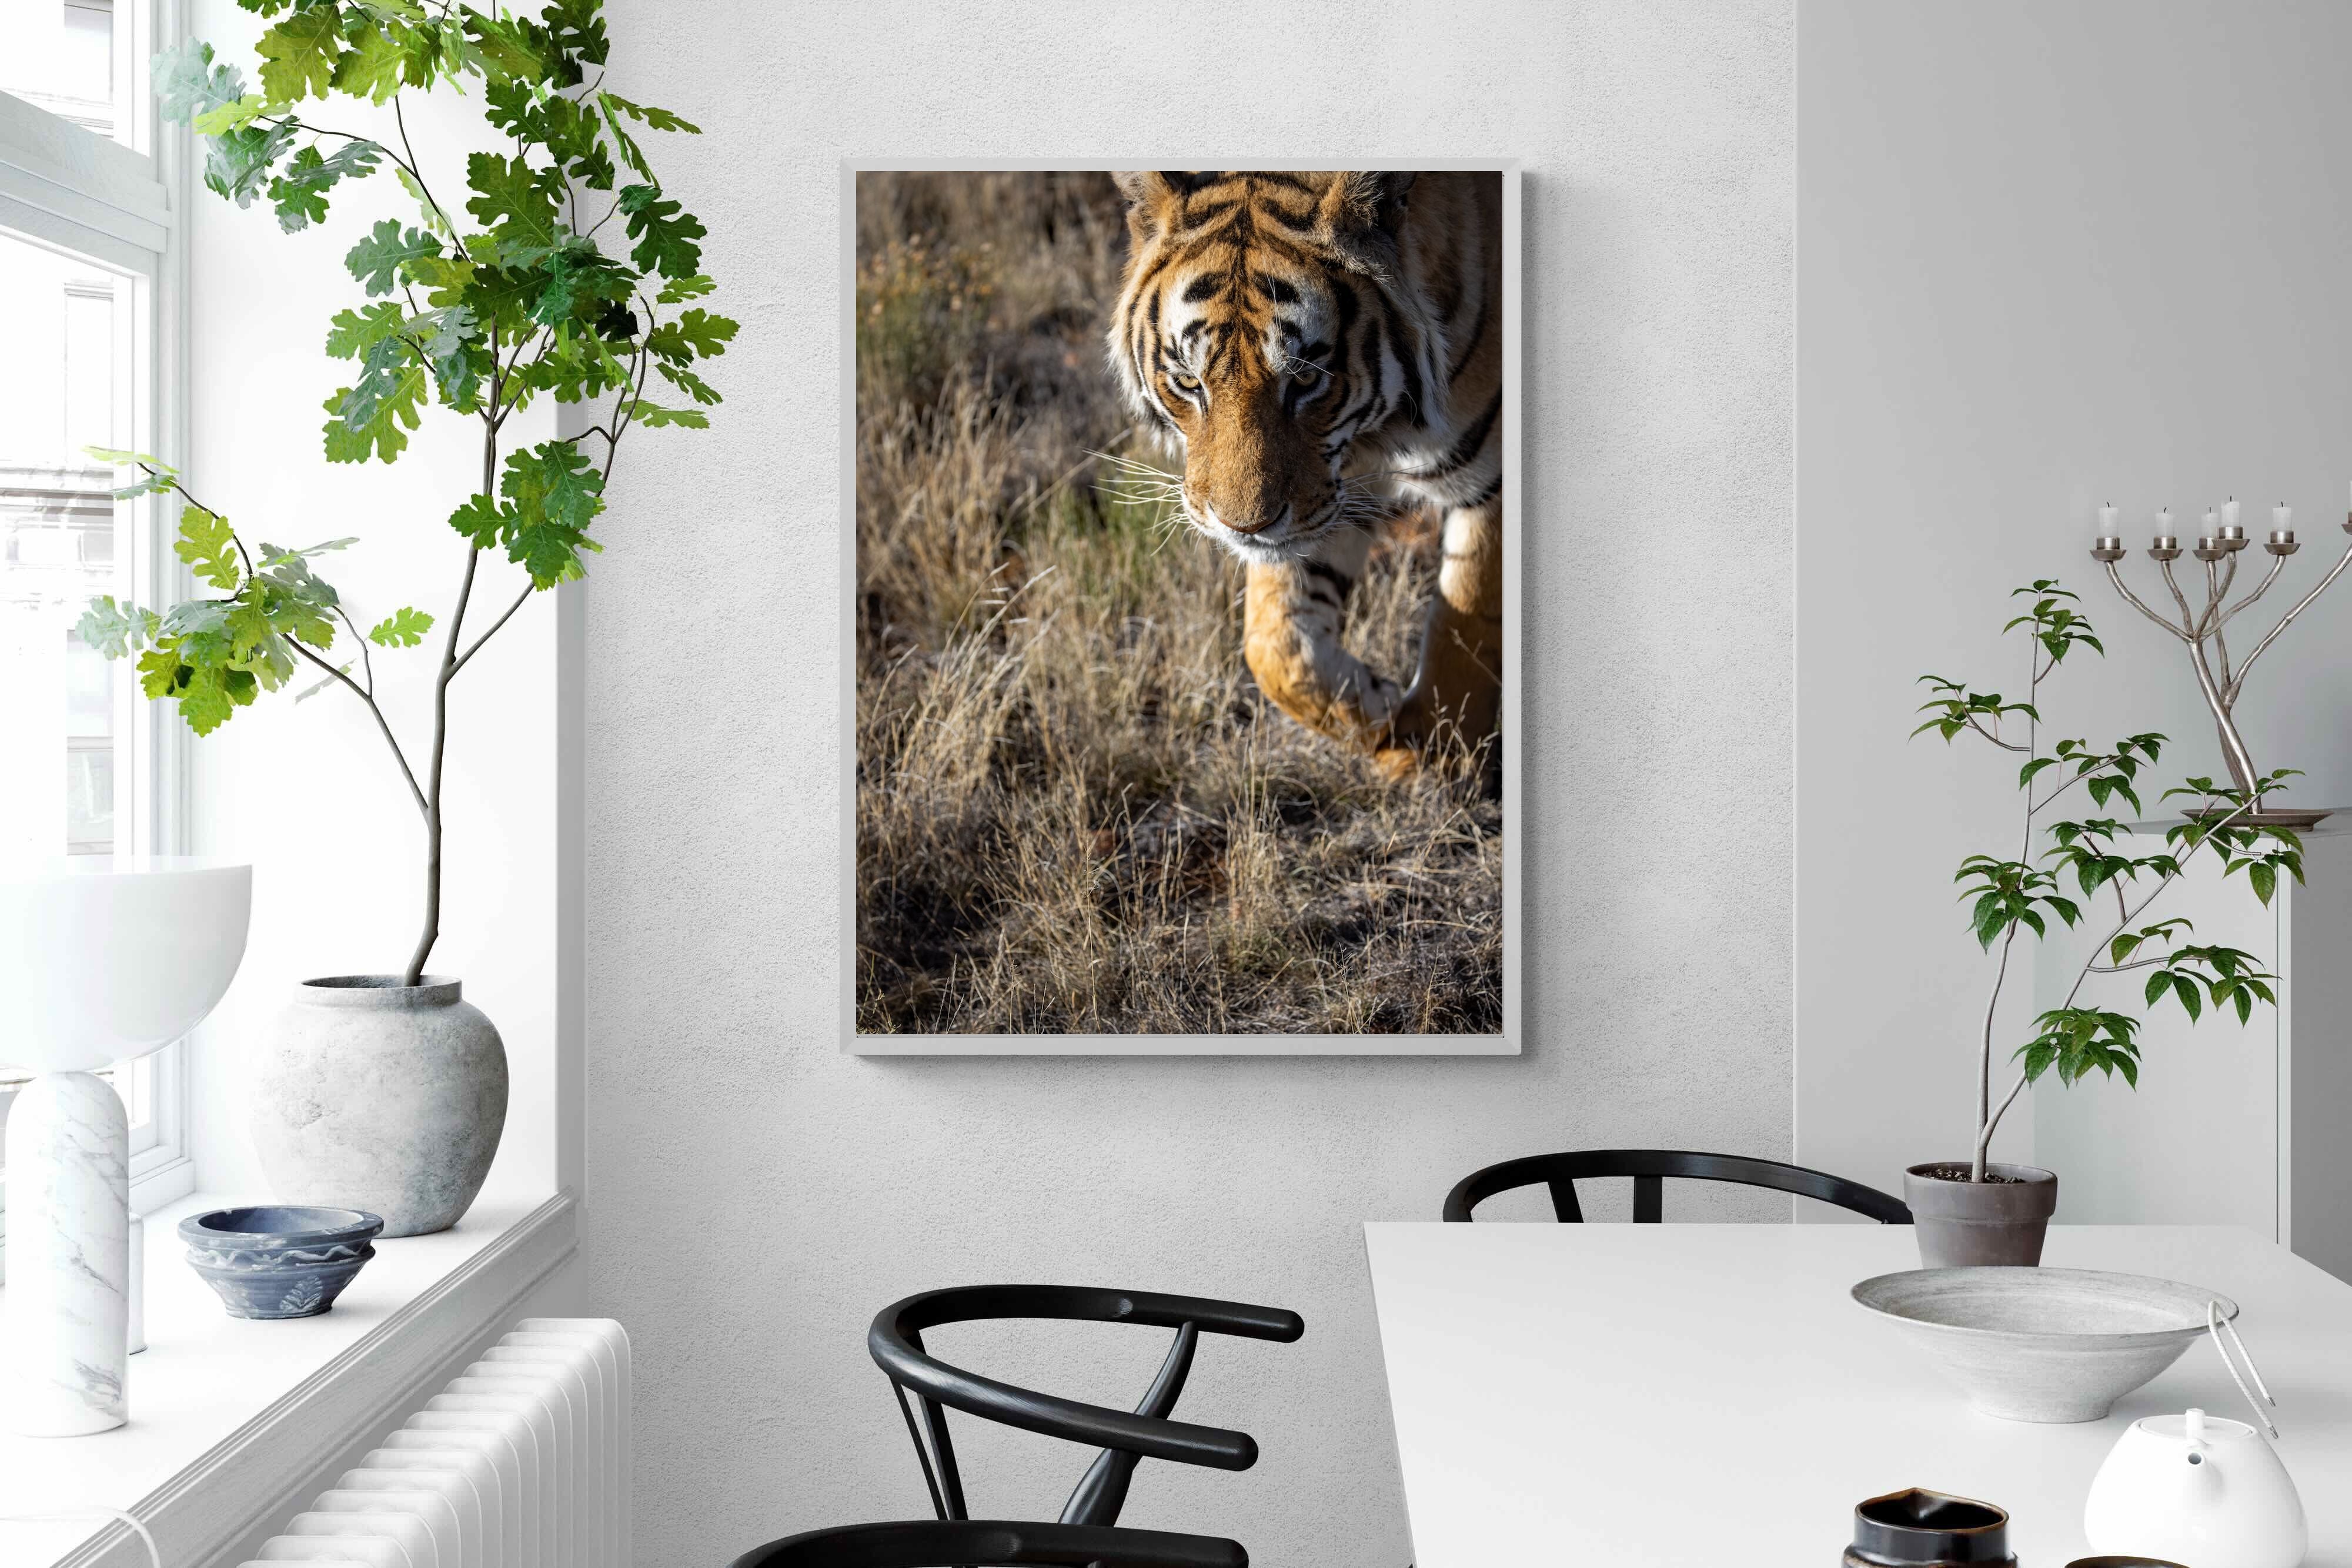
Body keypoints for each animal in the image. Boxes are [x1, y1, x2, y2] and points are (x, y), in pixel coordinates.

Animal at [1108, 170, 1504, 779]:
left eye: (1307, 379)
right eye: (1189, 382)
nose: (1243, 528)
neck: (1380, 432)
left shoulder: (1491, 480)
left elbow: (1467, 623)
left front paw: (1438, 754)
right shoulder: (1329, 495)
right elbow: (1275, 646)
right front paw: (1380, 708)